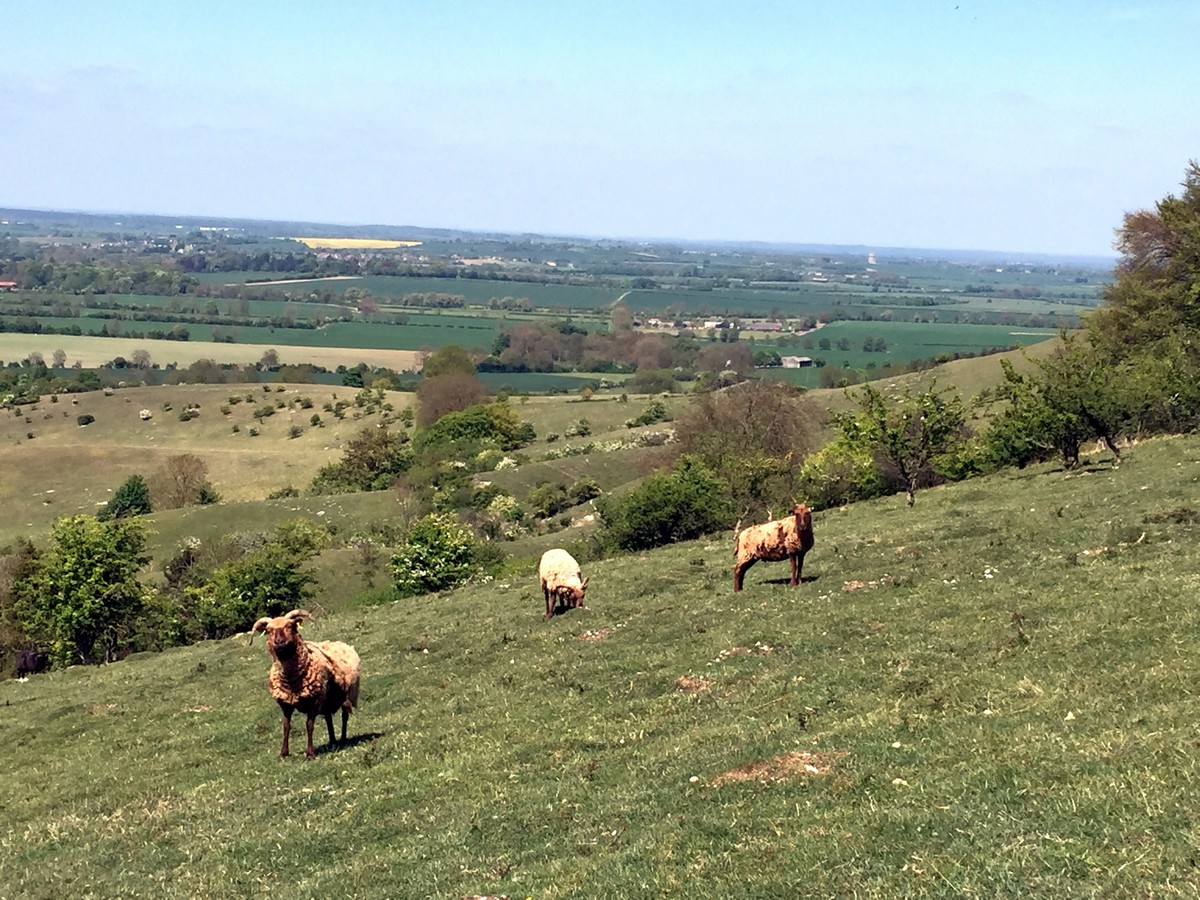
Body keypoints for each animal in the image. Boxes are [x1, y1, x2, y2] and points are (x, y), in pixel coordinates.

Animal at [249, 607, 357, 763]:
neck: (291, 681)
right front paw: (283, 753)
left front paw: (310, 753)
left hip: (344, 696)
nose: (279, 642)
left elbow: (309, 725)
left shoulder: (315, 701)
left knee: (344, 716)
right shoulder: (285, 704)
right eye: (269, 630)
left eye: (290, 626)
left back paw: (342, 740)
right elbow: (286, 727)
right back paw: (332, 741)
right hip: (326, 699)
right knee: (328, 718)